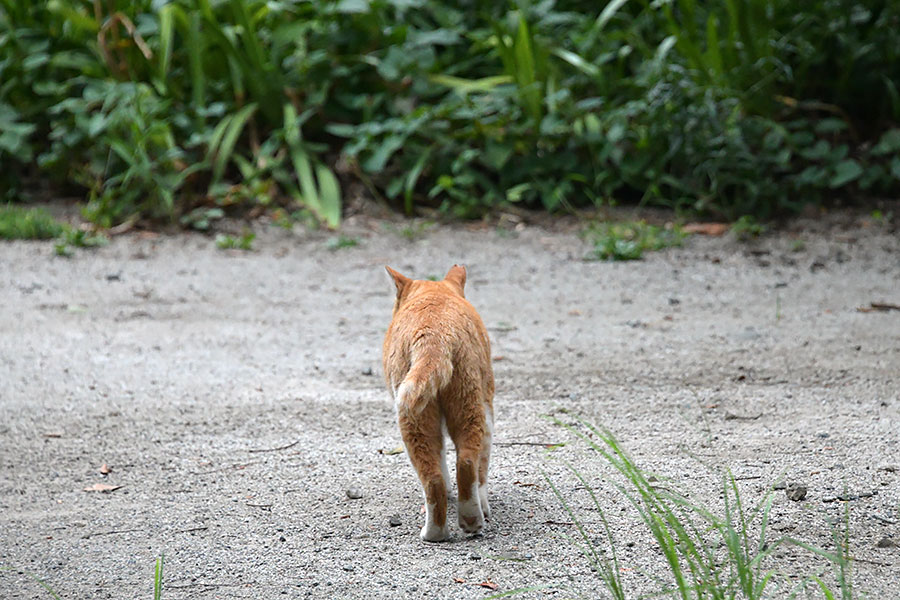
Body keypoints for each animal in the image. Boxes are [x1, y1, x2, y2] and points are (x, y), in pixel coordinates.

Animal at [380, 264, 492, 540]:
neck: (434, 292)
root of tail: (433, 333)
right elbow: (482, 470)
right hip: (469, 404)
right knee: (466, 463)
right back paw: (468, 521)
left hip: (414, 415)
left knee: (435, 477)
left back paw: (442, 531)